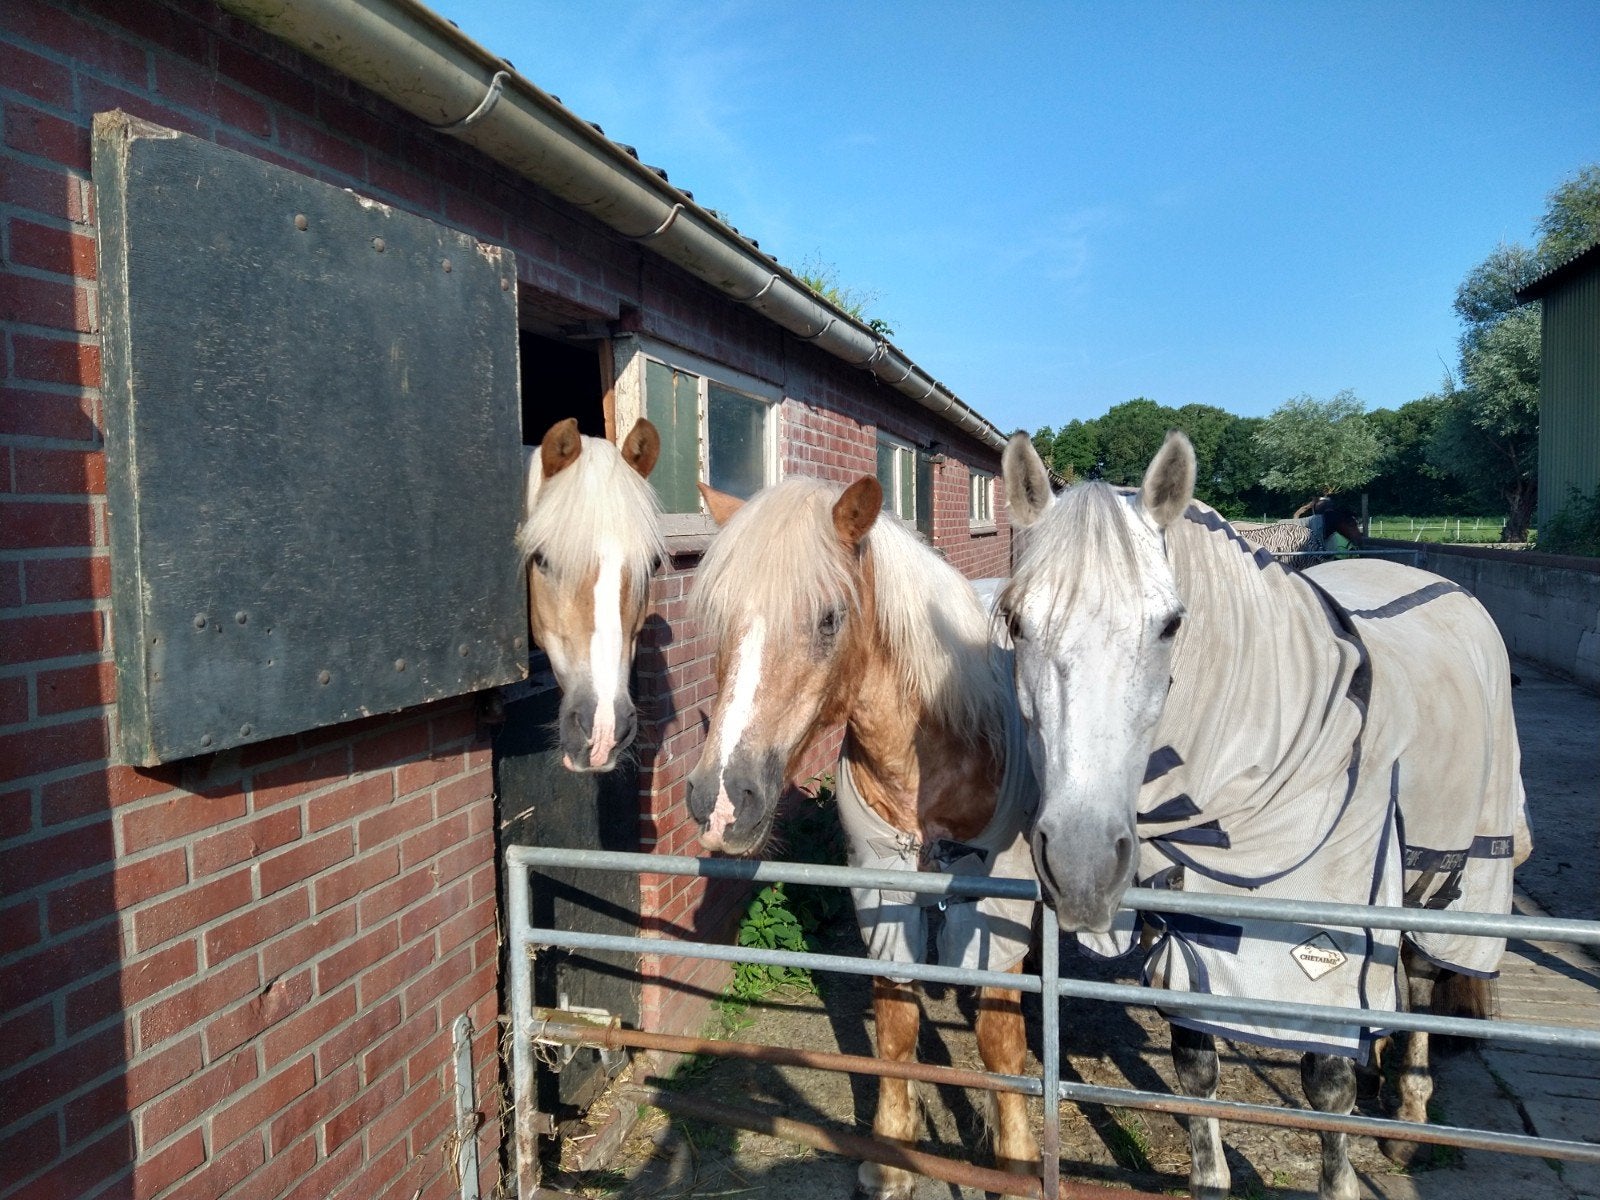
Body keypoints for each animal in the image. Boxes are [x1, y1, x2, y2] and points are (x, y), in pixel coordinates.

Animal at [684, 474, 1040, 1199]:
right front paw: (893, 1158)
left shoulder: (998, 907)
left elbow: (1001, 1042)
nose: (721, 803)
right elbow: (896, 1029)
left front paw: (1017, 1163)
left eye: (829, 618)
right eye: (721, 617)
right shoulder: (881, 894)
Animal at [998, 430, 1530, 1200]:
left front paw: (1343, 1175)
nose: (1082, 864)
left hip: (1454, 870)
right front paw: (1211, 1176)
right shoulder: (1193, 936)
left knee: (1424, 976)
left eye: (1172, 624)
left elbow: (1328, 1084)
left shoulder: (1326, 938)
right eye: (1014, 621)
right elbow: (1197, 1072)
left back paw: (1408, 1113)